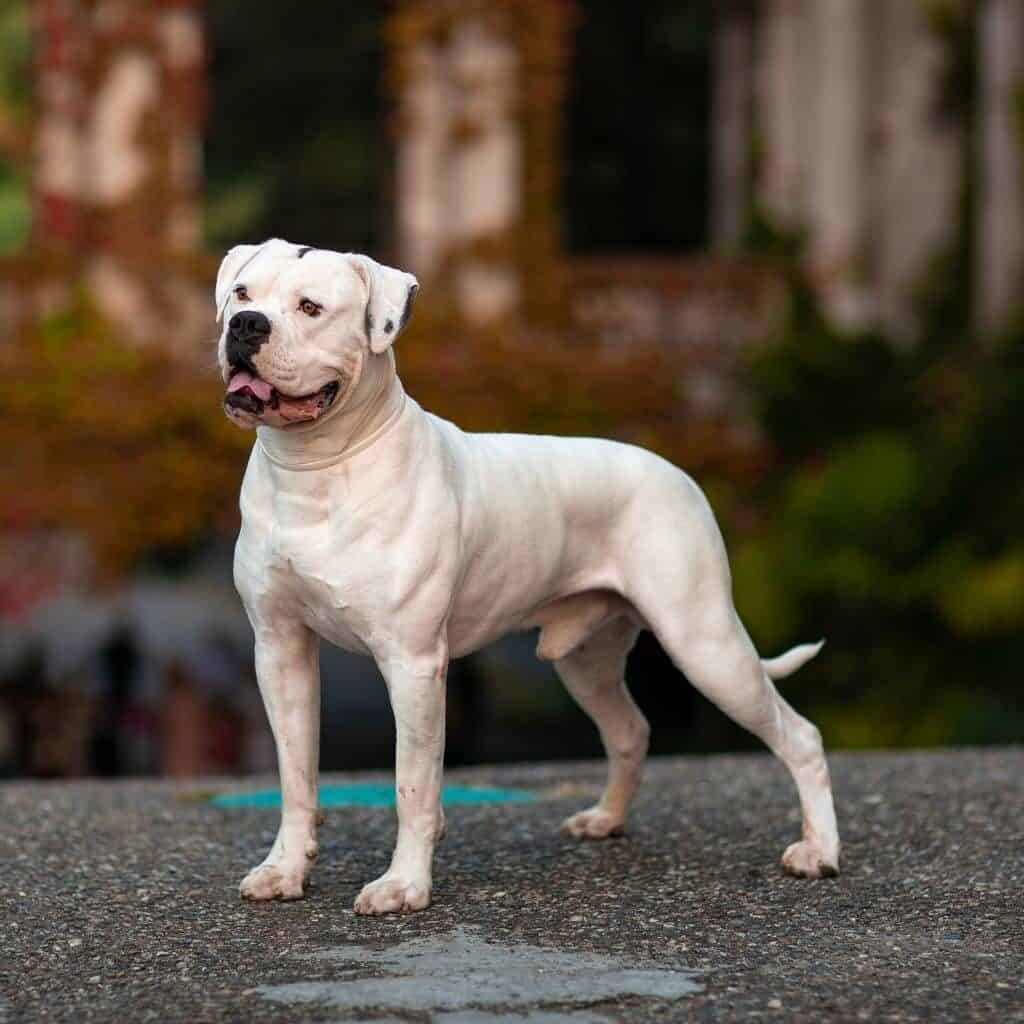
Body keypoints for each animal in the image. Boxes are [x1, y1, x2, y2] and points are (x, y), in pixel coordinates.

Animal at [218, 241, 839, 921]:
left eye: (310, 307)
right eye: (243, 293)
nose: (245, 326)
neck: (316, 469)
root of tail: (676, 472)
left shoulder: (412, 663)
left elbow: (413, 782)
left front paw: (404, 885)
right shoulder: (280, 652)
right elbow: (295, 775)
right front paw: (284, 869)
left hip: (705, 643)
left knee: (800, 735)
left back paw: (819, 852)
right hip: (586, 659)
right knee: (630, 730)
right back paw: (606, 819)